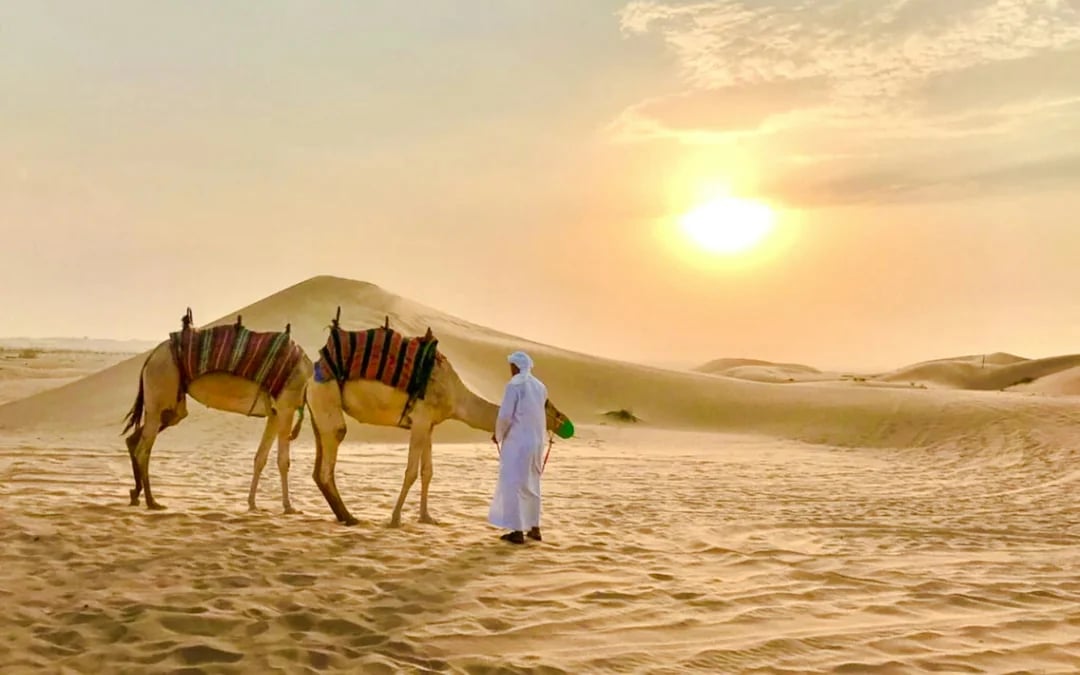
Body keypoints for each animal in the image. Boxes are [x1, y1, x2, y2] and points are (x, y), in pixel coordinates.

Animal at [122, 310, 313, 513]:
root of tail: (151, 357)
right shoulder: (286, 408)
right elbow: (283, 461)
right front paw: (289, 506)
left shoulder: (275, 413)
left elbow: (260, 458)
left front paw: (252, 504)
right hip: (160, 388)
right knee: (143, 449)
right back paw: (152, 501)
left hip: (173, 405)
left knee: (137, 439)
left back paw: (135, 494)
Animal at [306, 310, 574, 527]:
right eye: (549, 406)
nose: (567, 424)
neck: (455, 395)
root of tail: (312, 374)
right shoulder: (421, 420)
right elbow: (411, 472)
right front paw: (395, 519)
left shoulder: (429, 425)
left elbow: (428, 472)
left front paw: (426, 517)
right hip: (326, 395)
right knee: (332, 451)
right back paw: (350, 518)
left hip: (318, 411)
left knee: (319, 465)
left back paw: (344, 516)